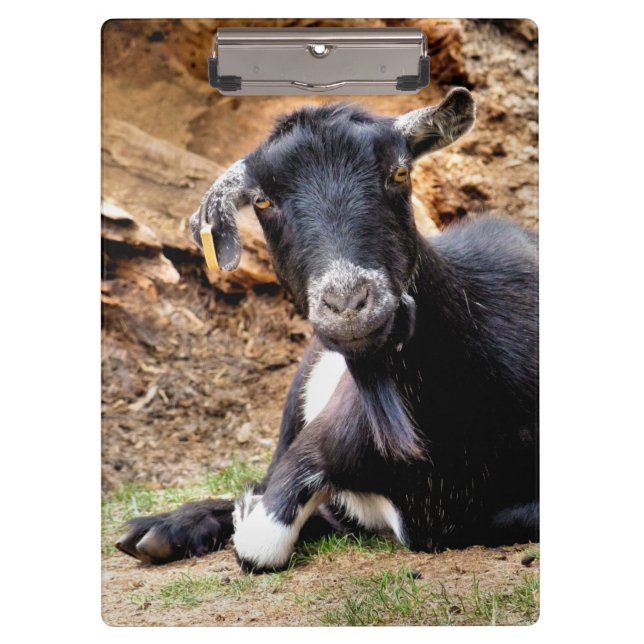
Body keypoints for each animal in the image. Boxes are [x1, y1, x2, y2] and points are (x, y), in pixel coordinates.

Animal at [116, 88, 539, 572]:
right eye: (262, 201)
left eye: (399, 172)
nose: (347, 304)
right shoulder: (317, 443)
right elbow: (261, 538)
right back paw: (160, 530)